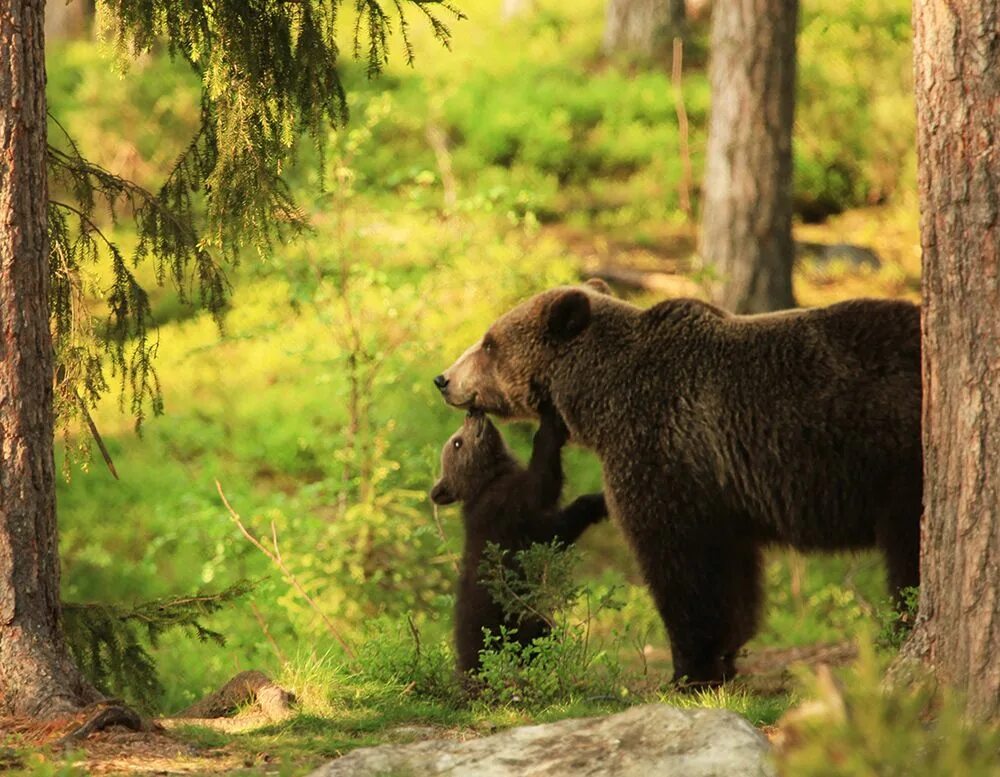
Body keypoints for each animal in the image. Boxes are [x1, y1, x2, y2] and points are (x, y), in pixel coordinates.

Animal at [436, 282, 920, 684]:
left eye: (490, 343)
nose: (443, 378)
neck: (599, 400)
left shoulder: (663, 450)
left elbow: (682, 566)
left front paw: (690, 669)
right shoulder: (724, 492)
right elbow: (733, 574)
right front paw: (725, 656)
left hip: (898, 464)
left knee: (908, 553)